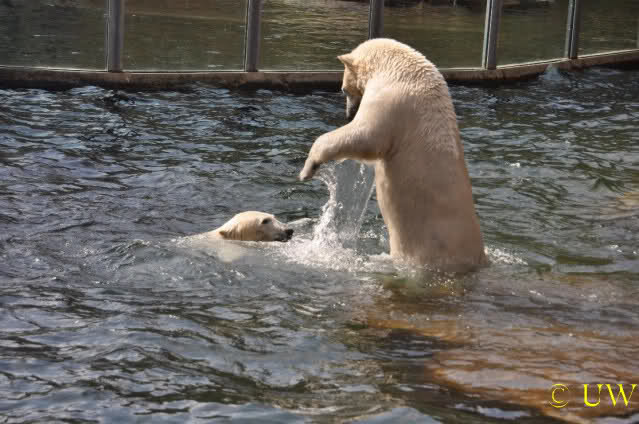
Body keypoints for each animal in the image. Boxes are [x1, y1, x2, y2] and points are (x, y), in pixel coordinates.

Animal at [299, 38, 486, 273]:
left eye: (343, 89)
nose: (348, 114)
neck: (397, 68)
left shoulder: (392, 98)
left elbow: (366, 134)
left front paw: (308, 169)